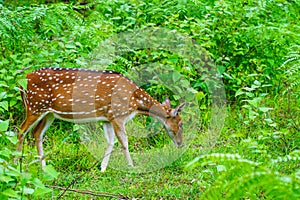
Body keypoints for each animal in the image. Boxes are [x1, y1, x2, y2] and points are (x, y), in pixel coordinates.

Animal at [17, 68, 185, 171]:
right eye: (181, 123)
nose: (181, 144)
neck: (136, 104)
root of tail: (22, 81)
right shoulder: (117, 114)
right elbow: (124, 141)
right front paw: (131, 166)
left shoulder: (107, 118)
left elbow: (111, 141)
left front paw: (103, 168)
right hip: (34, 106)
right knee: (21, 131)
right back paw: (15, 164)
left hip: (49, 113)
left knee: (37, 133)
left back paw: (44, 167)